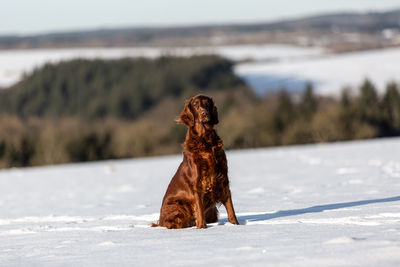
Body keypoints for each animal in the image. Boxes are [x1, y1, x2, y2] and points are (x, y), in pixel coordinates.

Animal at [152, 94, 239, 230]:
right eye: (195, 104)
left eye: (207, 103)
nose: (204, 113)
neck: (205, 140)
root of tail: (160, 222)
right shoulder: (197, 183)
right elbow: (199, 209)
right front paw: (202, 228)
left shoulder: (223, 178)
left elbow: (231, 209)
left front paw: (236, 225)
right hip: (179, 205)